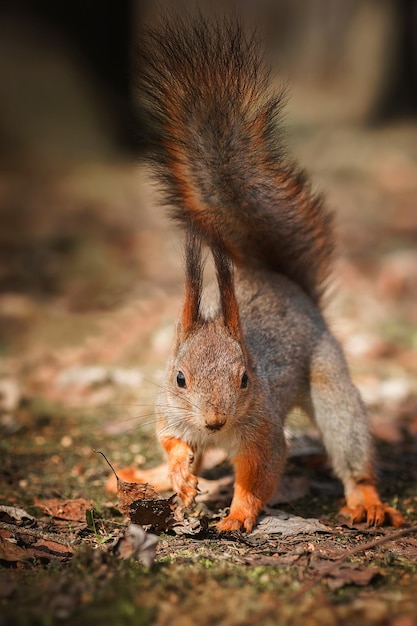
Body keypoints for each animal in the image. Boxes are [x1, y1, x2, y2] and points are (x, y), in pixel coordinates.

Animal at [136, 14, 404, 528]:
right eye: (179, 378)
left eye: (245, 378)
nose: (215, 421)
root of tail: (279, 281)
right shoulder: (169, 412)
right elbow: (172, 442)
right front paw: (178, 475)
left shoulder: (262, 429)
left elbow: (259, 474)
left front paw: (239, 515)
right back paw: (155, 476)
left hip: (330, 385)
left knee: (350, 447)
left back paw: (366, 499)